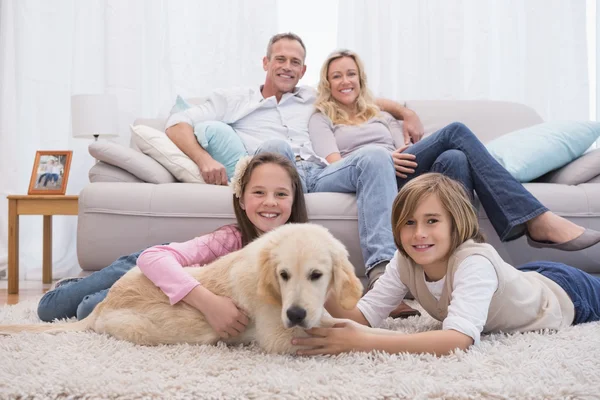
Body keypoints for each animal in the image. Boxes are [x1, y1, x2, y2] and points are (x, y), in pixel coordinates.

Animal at [0, 223, 364, 354]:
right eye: (283, 274)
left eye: (316, 275)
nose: (296, 313)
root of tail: (104, 305)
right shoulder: (277, 337)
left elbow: (341, 321)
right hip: (142, 327)